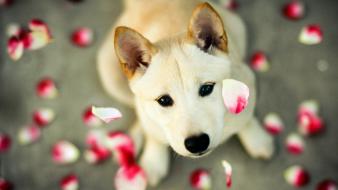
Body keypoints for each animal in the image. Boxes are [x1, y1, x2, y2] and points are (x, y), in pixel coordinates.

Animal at [96, 0, 274, 186]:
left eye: (207, 88)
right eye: (163, 100)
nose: (197, 143)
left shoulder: (245, 79)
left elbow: (246, 116)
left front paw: (256, 138)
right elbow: (153, 135)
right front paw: (154, 160)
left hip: (238, 28)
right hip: (109, 74)